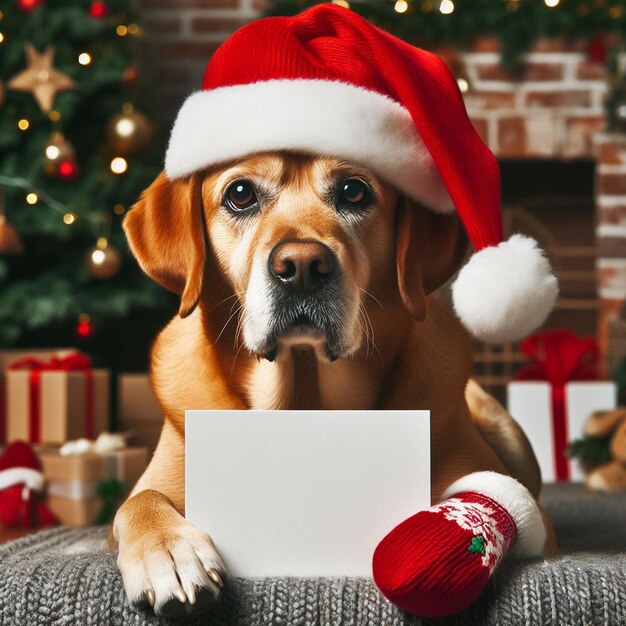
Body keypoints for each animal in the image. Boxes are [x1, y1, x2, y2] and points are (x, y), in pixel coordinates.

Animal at [113, 151, 556, 616]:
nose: (301, 267)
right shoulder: (158, 479)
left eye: (353, 191)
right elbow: (136, 503)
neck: (305, 398)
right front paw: (170, 554)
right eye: (240, 194)